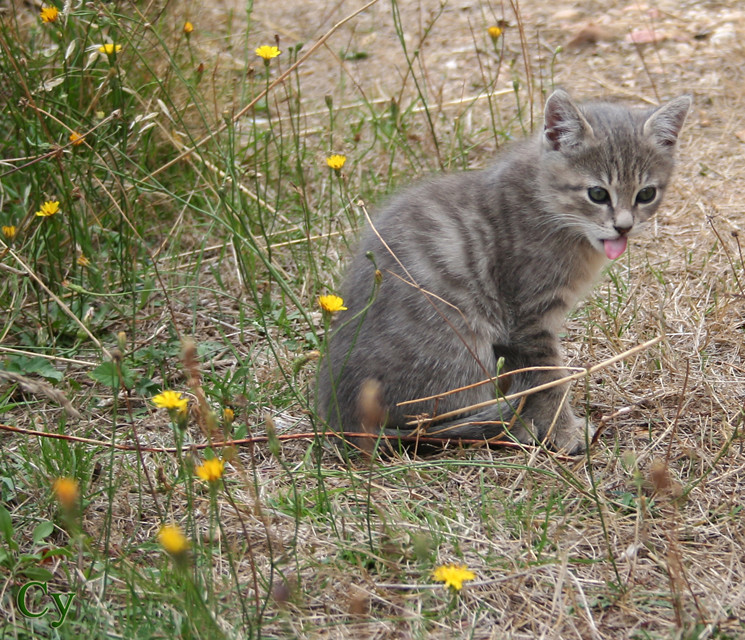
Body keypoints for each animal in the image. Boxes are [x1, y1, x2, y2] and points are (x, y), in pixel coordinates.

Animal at [316, 90, 692, 452]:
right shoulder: (528, 318)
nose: (624, 227)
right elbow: (549, 379)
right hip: (460, 347)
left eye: (646, 194)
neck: (546, 202)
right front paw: (564, 432)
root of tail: (341, 418)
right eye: (598, 193)